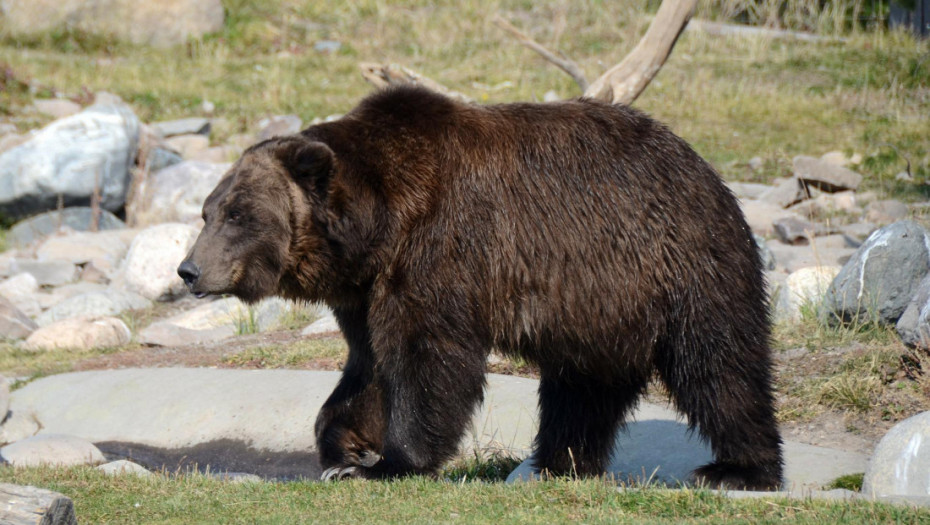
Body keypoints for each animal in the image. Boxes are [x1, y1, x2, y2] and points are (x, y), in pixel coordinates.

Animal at [178, 85, 780, 488]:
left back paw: (737, 469)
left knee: (719, 366)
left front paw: (391, 461)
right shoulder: (367, 289)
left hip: (680, 262)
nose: (189, 270)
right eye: (208, 210)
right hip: (598, 307)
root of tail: (703, 167)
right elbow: (369, 366)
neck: (378, 224)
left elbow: (429, 359)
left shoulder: (441, 248)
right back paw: (560, 462)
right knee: (582, 387)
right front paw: (345, 448)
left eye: (236, 215)